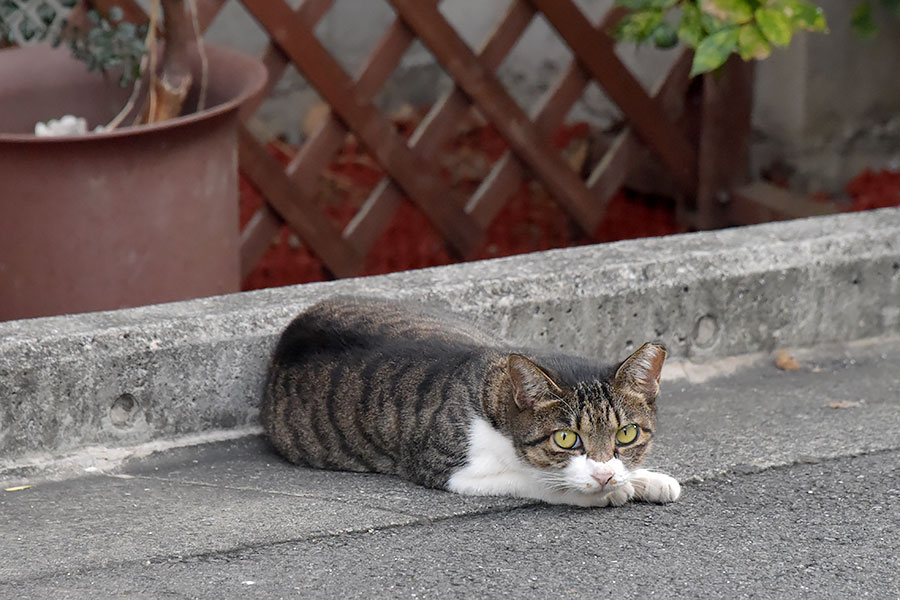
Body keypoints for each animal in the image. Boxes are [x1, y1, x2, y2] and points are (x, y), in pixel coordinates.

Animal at [260, 296, 684, 506]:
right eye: (566, 439)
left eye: (627, 434)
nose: (604, 476)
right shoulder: (442, 466)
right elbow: (533, 479)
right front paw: (606, 492)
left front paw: (645, 479)